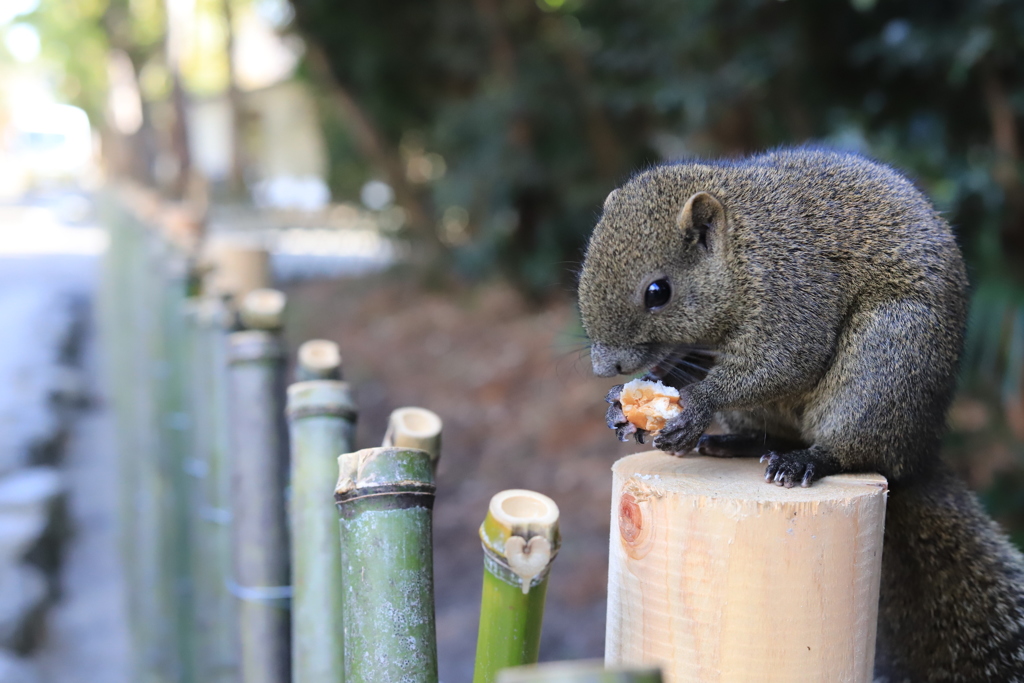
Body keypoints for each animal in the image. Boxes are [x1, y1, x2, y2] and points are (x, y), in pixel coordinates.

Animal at [577, 149, 1024, 683]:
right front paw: (623, 408)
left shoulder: (793, 290)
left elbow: (785, 359)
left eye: (658, 291)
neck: (745, 248)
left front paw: (697, 405)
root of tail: (918, 455)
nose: (604, 367)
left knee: (853, 449)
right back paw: (732, 444)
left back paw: (807, 461)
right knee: (773, 436)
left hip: (884, 363)